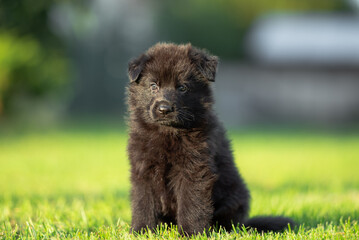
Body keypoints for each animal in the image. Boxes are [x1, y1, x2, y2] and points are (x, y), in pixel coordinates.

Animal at [125, 42, 294, 234]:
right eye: (153, 86)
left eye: (182, 88)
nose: (164, 109)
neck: (169, 132)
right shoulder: (144, 168)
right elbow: (143, 202)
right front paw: (141, 230)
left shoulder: (195, 168)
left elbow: (192, 203)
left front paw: (190, 233)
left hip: (233, 197)